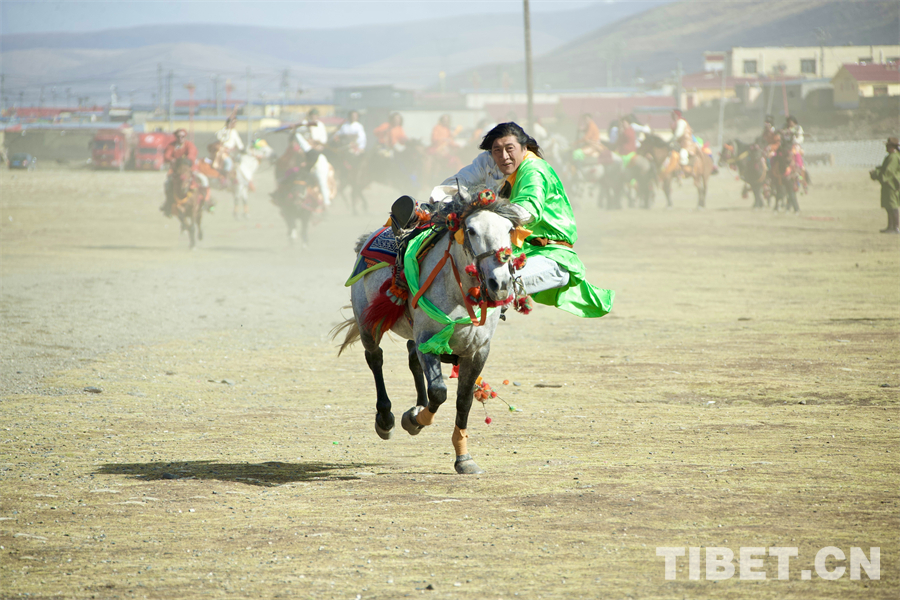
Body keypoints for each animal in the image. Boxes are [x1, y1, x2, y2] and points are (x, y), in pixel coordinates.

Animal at [333, 188, 528, 474]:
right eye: (471, 230)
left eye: (509, 229)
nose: (500, 284)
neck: (459, 293)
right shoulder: (428, 340)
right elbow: (439, 391)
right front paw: (413, 420)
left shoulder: (478, 351)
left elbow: (463, 400)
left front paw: (464, 458)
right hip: (368, 323)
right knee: (375, 358)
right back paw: (386, 418)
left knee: (412, 358)